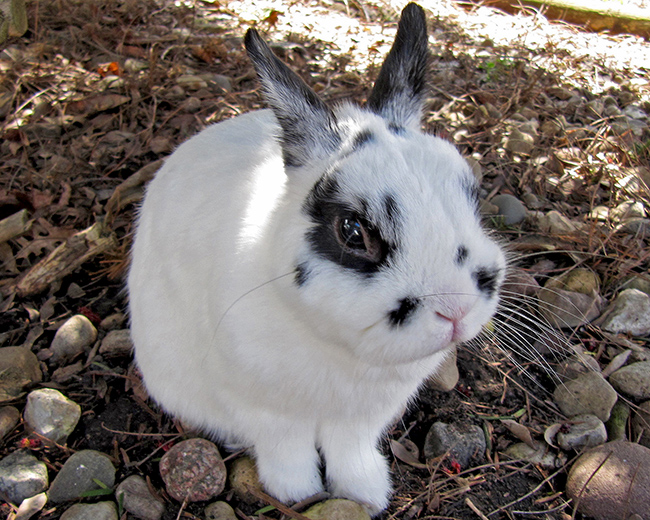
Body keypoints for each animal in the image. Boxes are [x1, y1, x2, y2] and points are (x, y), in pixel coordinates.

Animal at [126, 3, 506, 516]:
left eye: (472, 196)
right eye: (353, 231)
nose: (457, 309)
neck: (341, 351)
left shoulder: (363, 418)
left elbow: (350, 449)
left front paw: (366, 492)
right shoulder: (264, 408)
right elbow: (285, 448)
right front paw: (297, 492)